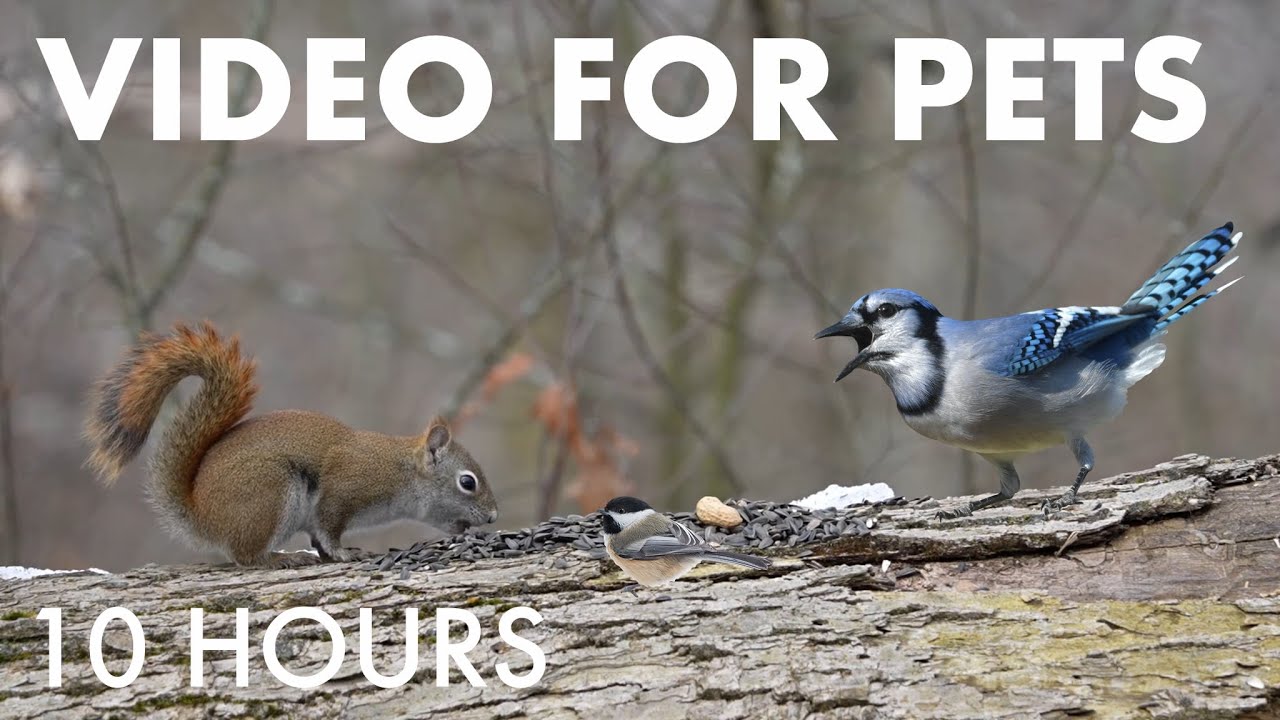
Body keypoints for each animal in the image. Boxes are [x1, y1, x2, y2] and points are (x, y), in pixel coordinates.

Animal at [83, 321, 498, 567]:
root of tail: (201, 514)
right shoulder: (344, 490)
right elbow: (329, 528)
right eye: (467, 482)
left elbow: (318, 536)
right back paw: (276, 559)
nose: (494, 517)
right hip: (270, 492)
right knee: (244, 556)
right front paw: (342, 553)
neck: (401, 471)